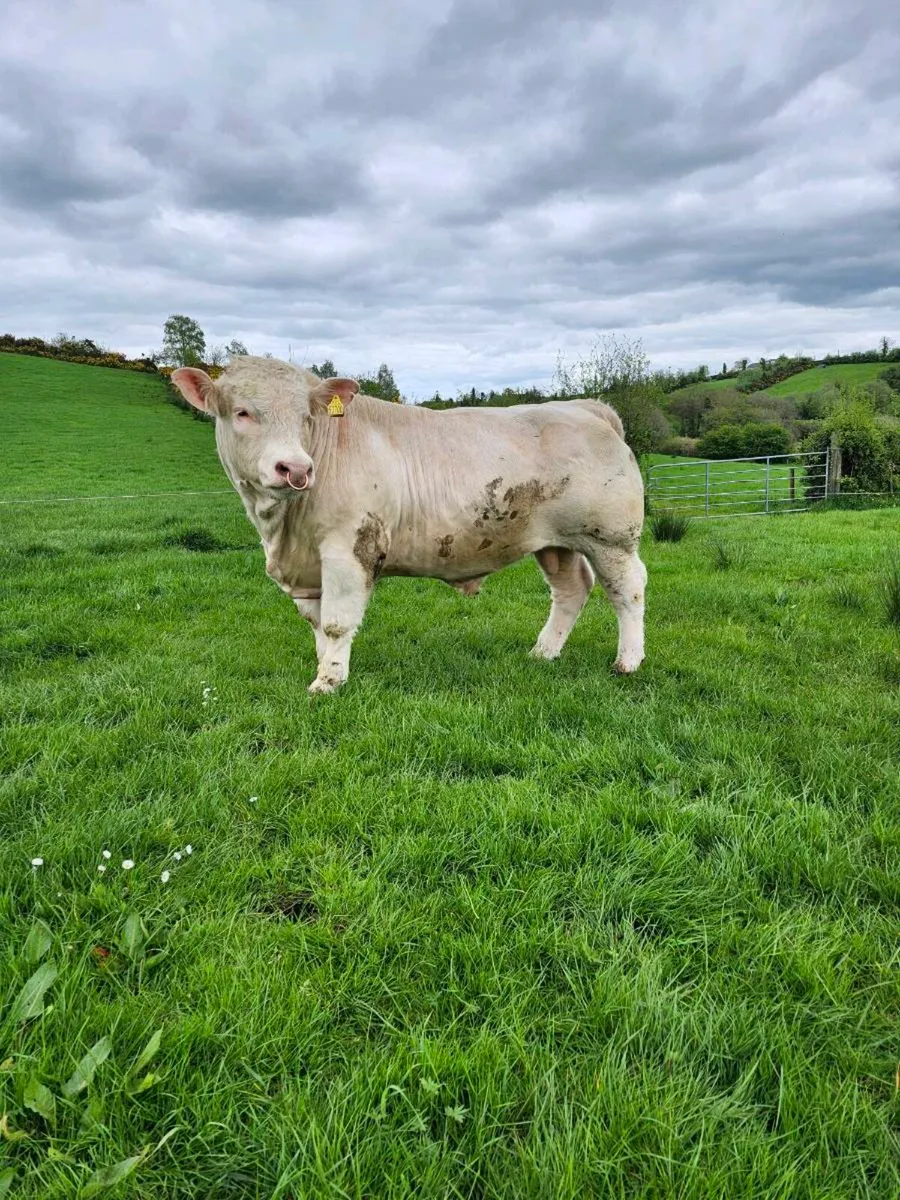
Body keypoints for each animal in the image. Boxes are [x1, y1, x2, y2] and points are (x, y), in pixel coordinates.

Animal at [172, 357, 647, 694]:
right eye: (242, 413)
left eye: (307, 416)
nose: (295, 468)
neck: (282, 530)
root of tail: (586, 406)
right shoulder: (306, 568)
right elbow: (317, 625)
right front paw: (328, 667)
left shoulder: (349, 548)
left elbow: (337, 622)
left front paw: (328, 683)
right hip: (554, 542)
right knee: (571, 589)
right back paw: (542, 652)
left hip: (611, 538)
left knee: (628, 589)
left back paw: (628, 662)